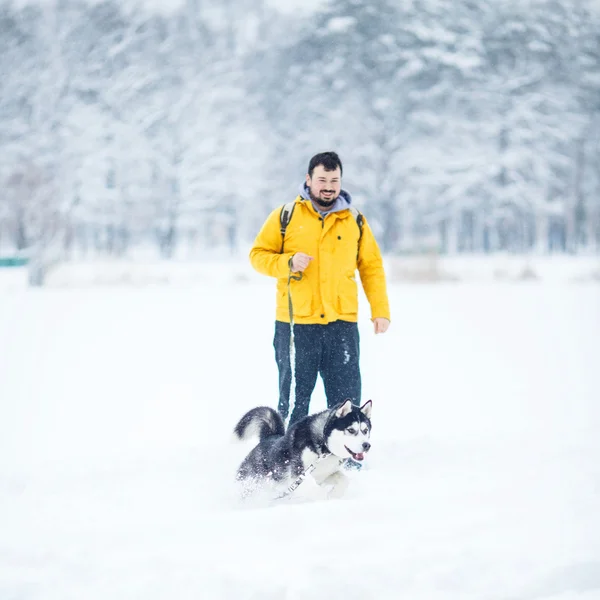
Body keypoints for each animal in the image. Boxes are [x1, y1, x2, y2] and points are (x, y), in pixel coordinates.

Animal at [233, 400, 370, 500]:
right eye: (351, 430)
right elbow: (316, 490)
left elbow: (344, 480)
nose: (367, 445)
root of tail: (269, 437)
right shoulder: (298, 475)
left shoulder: (324, 475)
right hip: (252, 481)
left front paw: (334, 495)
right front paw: (325, 498)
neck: (324, 449)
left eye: (365, 430)